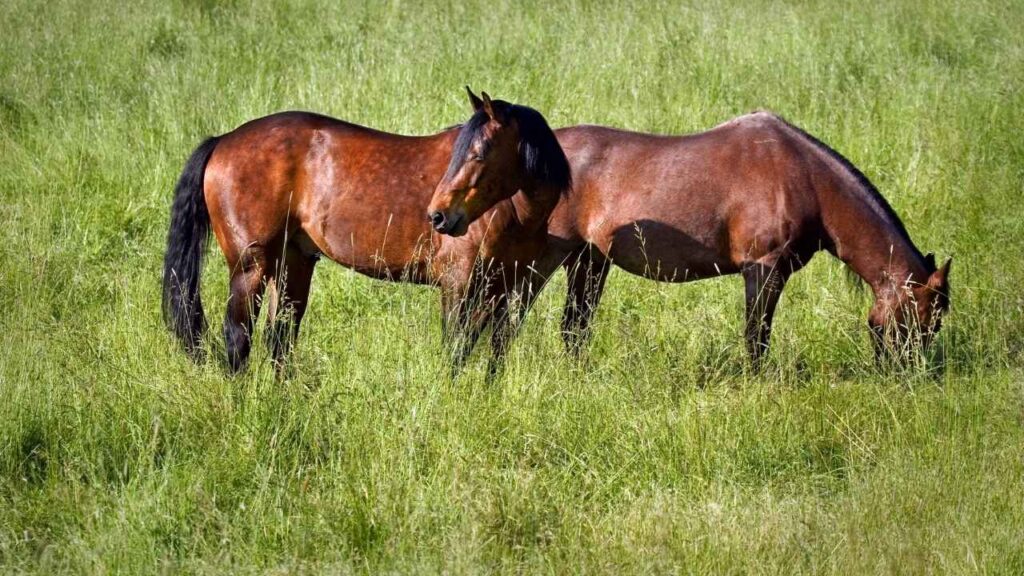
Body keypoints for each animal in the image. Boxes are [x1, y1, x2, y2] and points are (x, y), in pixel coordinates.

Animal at [162, 91, 570, 374]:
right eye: (460, 152)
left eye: (479, 154)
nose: (438, 216)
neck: (514, 212)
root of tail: (224, 140)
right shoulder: (459, 286)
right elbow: (455, 352)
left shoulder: (505, 290)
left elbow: (495, 357)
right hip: (251, 267)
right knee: (238, 339)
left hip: (292, 263)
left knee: (280, 339)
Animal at [428, 92, 951, 366]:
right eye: (924, 320)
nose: (915, 376)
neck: (802, 176)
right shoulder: (764, 270)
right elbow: (756, 340)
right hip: (545, 262)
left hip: (588, 262)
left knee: (571, 329)